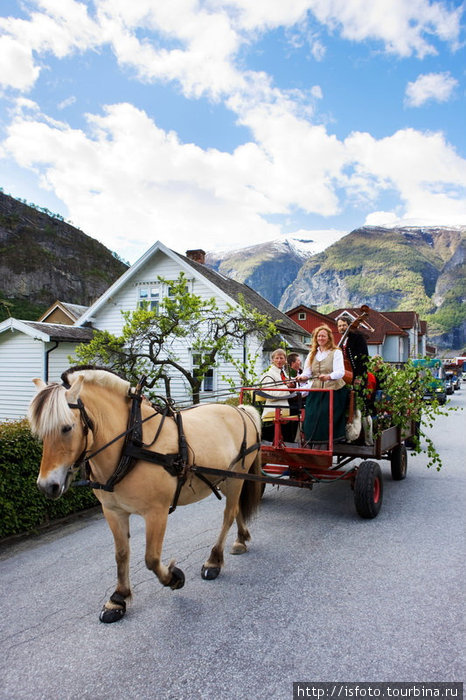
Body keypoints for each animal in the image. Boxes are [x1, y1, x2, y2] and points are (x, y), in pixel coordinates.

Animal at [29, 366, 262, 624]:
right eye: (39, 432)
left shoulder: (156, 512)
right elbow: (121, 554)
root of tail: (240, 410)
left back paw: (214, 560)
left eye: (67, 428)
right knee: (236, 509)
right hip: (223, 479)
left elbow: (151, 558)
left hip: (236, 478)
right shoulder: (113, 511)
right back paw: (241, 539)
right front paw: (118, 598)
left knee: (228, 515)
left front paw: (174, 578)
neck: (131, 444)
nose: (46, 486)